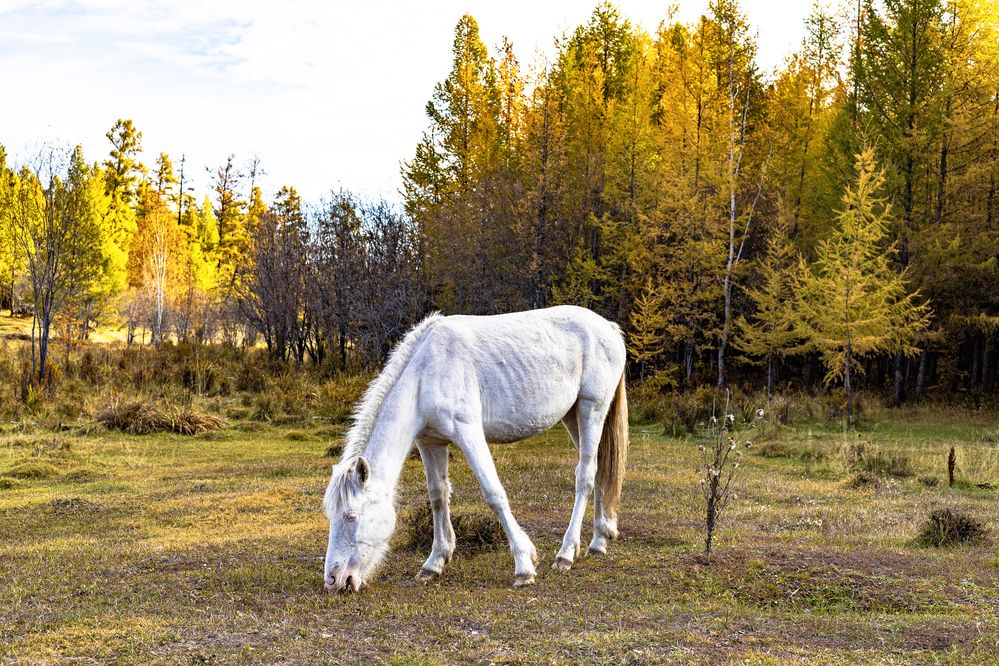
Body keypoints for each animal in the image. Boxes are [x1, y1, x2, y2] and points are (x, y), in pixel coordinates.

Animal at [322, 305, 628, 591]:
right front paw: (434, 563)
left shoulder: (468, 432)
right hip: (573, 417)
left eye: (351, 516)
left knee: (585, 476)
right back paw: (599, 540)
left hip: (592, 409)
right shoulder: (430, 442)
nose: (334, 580)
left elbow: (494, 494)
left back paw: (566, 554)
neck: (425, 374)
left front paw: (524, 566)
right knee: (599, 470)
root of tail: (609, 328)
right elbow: (438, 496)